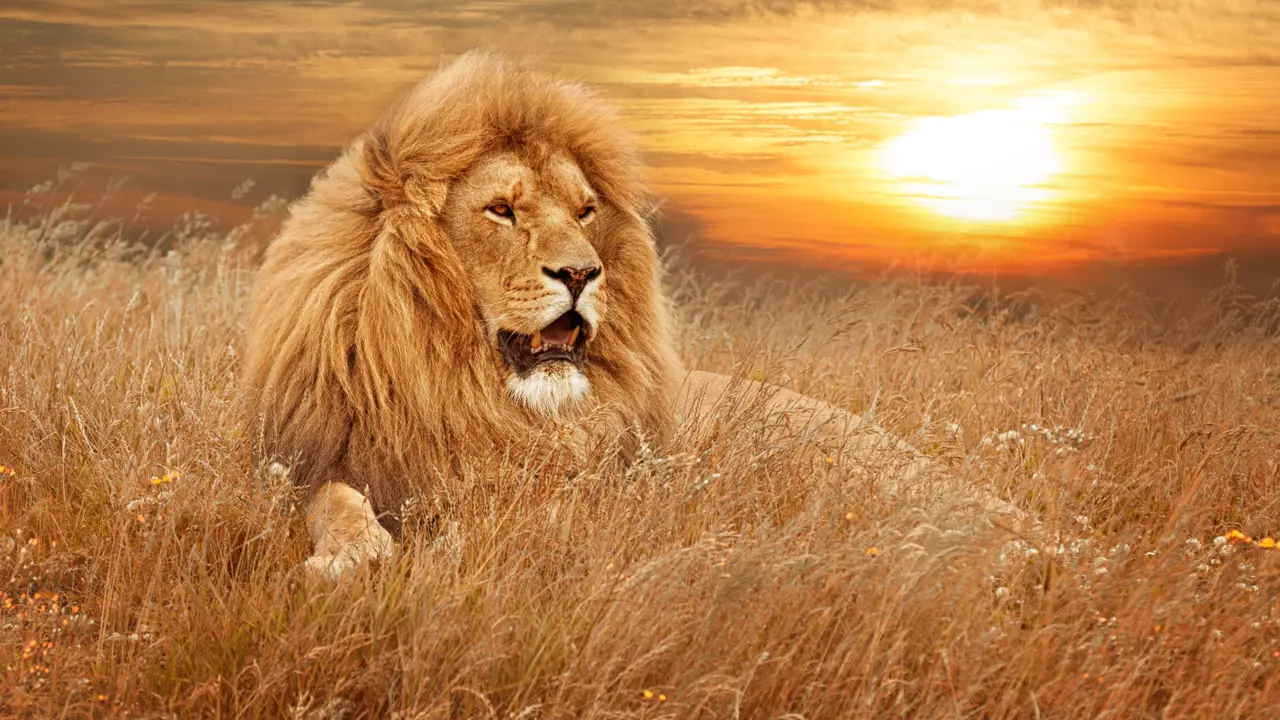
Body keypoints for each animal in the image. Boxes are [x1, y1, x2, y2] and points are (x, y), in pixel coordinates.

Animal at [245, 50, 1019, 579]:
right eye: (501, 210)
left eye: (585, 211)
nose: (582, 273)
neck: (464, 391)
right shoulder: (311, 461)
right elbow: (333, 499)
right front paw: (353, 555)